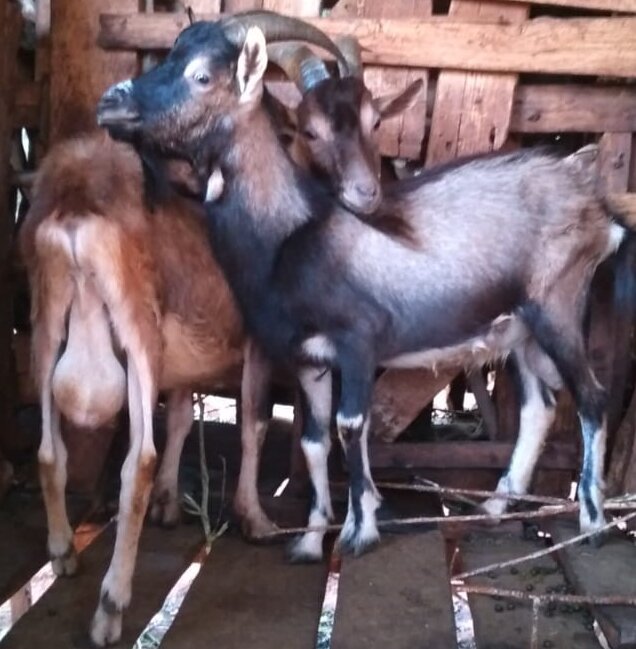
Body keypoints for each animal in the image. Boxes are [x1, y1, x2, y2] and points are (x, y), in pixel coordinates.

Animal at [97, 17, 636, 570]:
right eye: (169, 55)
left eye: (202, 76)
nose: (111, 100)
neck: (294, 232)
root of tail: (601, 210)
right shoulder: (308, 357)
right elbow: (314, 440)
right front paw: (310, 539)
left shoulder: (358, 342)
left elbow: (351, 426)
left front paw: (360, 531)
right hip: (520, 329)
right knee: (539, 408)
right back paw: (493, 507)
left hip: (558, 304)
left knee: (591, 397)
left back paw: (592, 521)